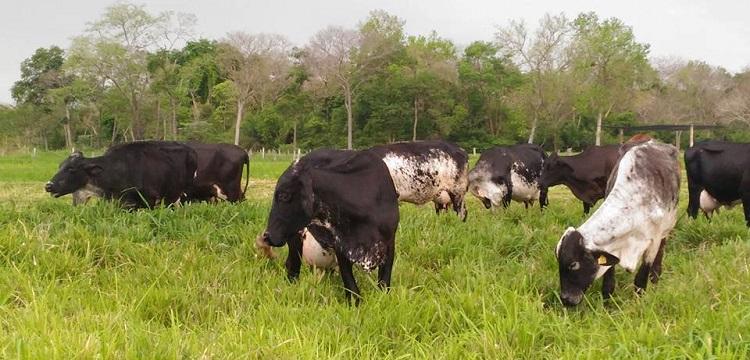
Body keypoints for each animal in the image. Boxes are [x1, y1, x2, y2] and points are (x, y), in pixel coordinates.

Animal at [260, 148, 400, 302]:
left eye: (284, 195)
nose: (267, 236)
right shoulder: (340, 244)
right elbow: (350, 282)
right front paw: (354, 301)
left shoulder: (389, 242)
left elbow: (384, 280)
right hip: (295, 240)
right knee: (292, 266)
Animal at [552, 141, 680, 306]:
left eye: (574, 264)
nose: (566, 299)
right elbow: (608, 284)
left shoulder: (653, 241)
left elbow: (640, 281)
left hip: (666, 229)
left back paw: (655, 278)